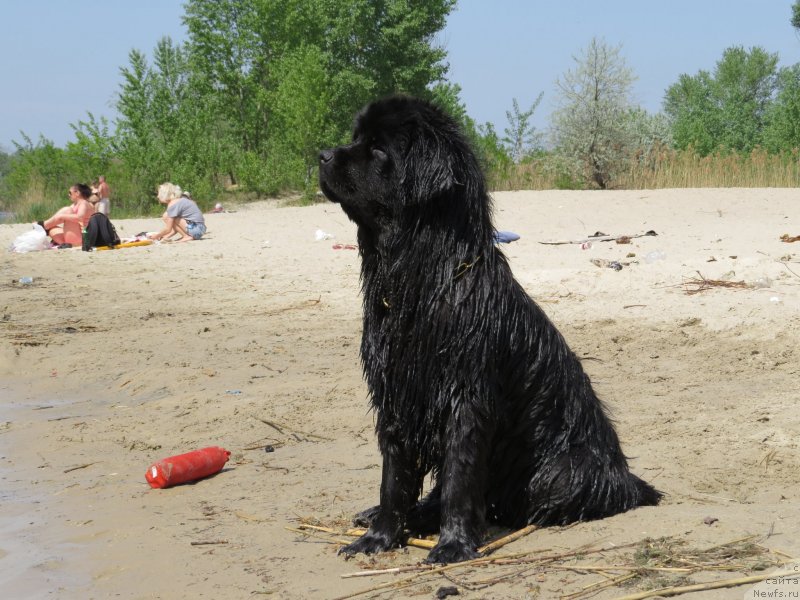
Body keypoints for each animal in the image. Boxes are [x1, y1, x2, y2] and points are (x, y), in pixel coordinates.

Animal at [316, 94, 660, 564]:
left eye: (379, 149)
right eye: (355, 138)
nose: (322, 154)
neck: (424, 286)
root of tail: (628, 480)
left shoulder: (466, 397)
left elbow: (459, 480)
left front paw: (453, 544)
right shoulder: (396, 393)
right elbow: (394, 478)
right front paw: (379, 536)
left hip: (561, 471)